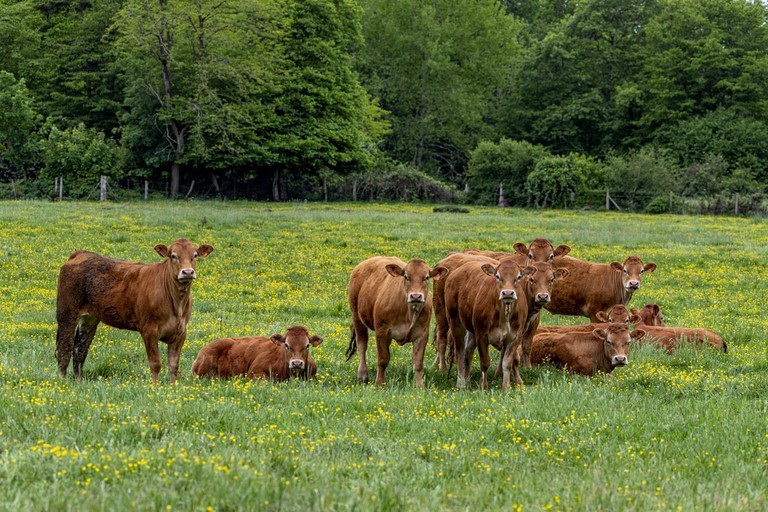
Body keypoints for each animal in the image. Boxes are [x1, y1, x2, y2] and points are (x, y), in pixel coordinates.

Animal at [55, 238, 214, 384]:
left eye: (195, 255)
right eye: (173, 255)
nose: (187, 272)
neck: (176, 303)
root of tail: (81, 253)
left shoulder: (181, 332)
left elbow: (174, 364)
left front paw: (172, 387)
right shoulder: (149, 330)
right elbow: (156, 363)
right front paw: (155, 387)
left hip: (90, 318)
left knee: (80, 349)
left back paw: (78, 380)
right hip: (66, 313)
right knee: (65, 347)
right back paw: (62, 381)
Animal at [345, 256, 448, 388]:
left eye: (426, 277)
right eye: (406, 276)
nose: (416, 296)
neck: (409, 312)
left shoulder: (422, 334)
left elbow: (418, 363)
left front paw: (420, 386)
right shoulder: (382, 331)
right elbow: (383, 359)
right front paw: (380, 382)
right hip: (357, 317)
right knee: (362, 344)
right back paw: (363, 374)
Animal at [444, 257, 535, 390]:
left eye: (518, 277)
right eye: (497, 276)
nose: (508, 293)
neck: (504, 316)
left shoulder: (514, 337)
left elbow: (507, 363)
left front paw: (506, 387)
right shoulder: (481, 335)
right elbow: (485, 362)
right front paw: (484, 386)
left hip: (471, 330)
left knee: (468, 352)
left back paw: (468, 383)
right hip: (455, 322)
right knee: (460, 352)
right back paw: (461, 384)